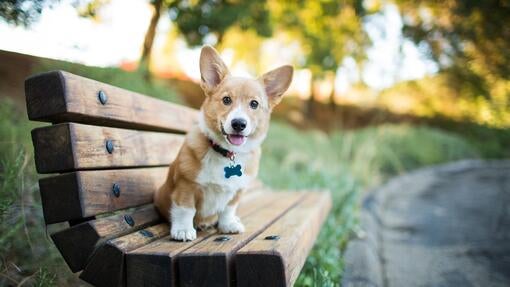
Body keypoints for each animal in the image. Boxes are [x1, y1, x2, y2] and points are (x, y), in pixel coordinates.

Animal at [153, 45, 292, 243]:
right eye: (226, 100)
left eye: (254, 104)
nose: (239, 124)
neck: (227, 153)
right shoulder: (186, 186)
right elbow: (186, 210)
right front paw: (183, 231)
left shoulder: (237, 191)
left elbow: (228, 210)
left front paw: (228, 225)